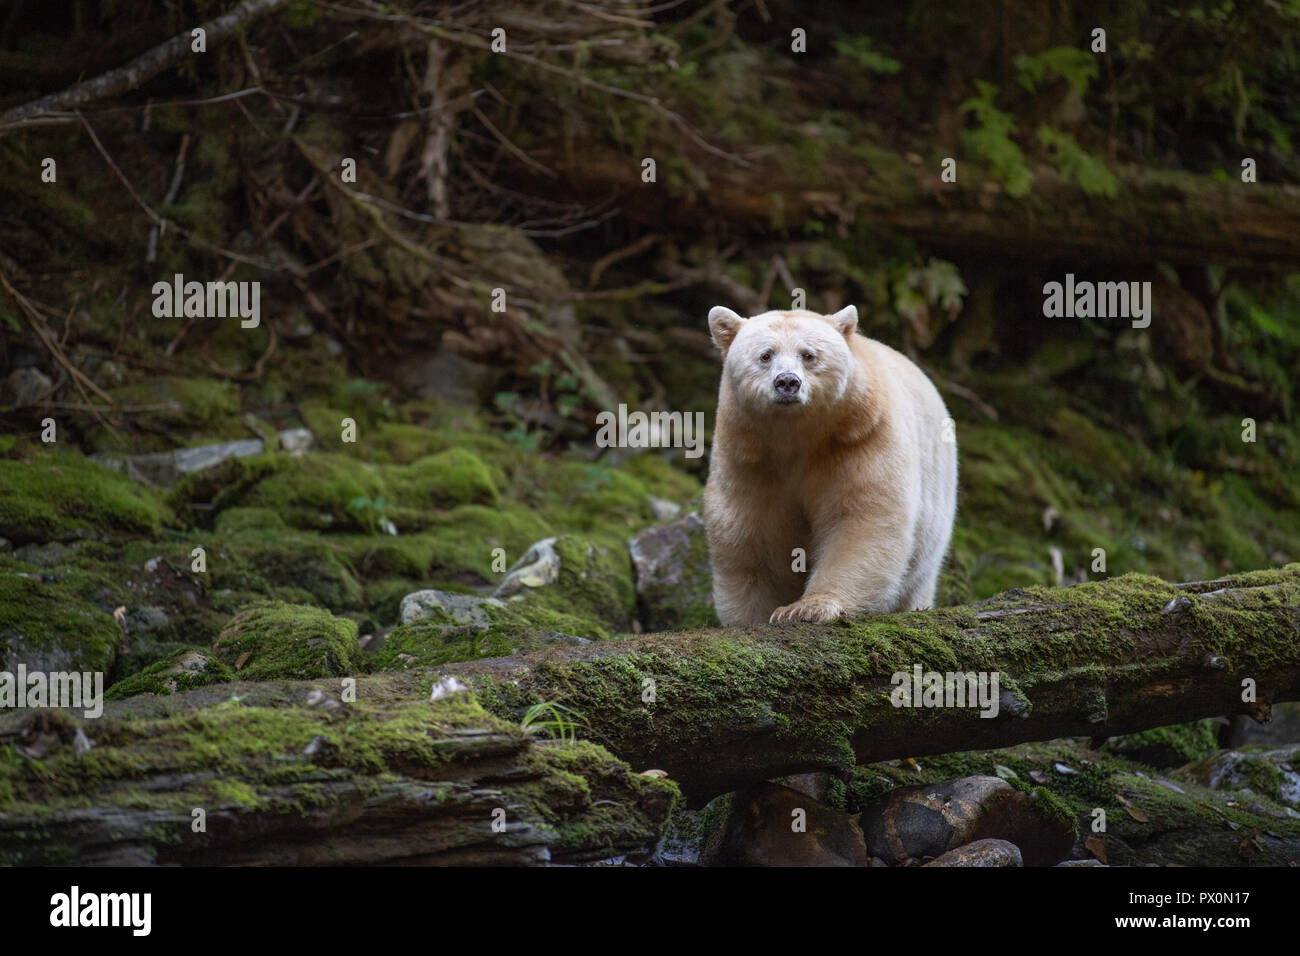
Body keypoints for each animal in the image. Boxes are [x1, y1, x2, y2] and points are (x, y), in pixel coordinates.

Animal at [707, 303, 961, 624]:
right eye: (766, 355)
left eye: (808, 354)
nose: (787, 382)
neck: (796, 435)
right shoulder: (748, 457)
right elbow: (750, 532)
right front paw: (756, 615)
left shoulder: (861, 437)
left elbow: (861, 517)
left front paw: (807, 607)